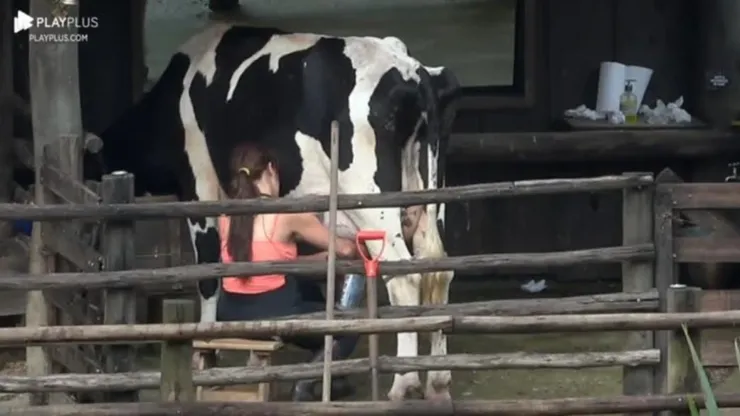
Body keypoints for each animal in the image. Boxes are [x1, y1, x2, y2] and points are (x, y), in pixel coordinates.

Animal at [85, 22, 456, 400]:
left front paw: (206, 351)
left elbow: (209, 272)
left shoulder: (200, 185)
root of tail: (411, 71)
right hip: (431, 202)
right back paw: (438, 381)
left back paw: (404, 383)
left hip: (372, 200)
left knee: (406, 276)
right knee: (438, 271)